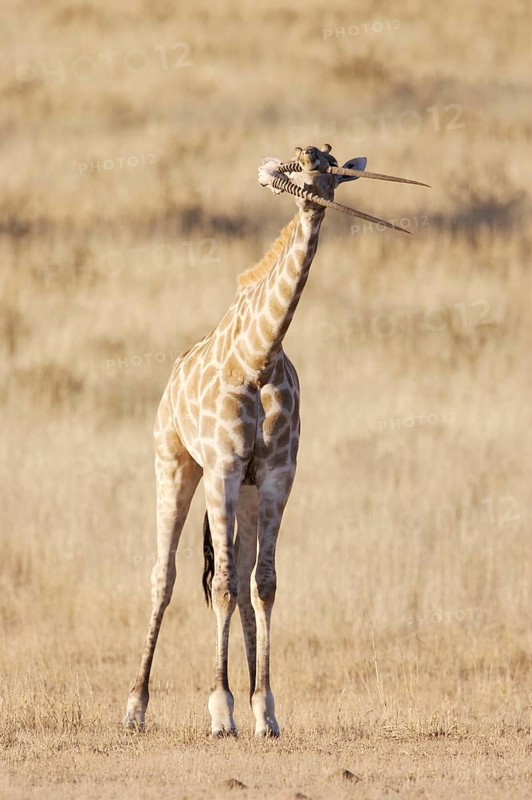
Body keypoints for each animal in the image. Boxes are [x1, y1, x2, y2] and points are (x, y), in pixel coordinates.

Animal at [124, 145, 427, 737]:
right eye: (300, 163)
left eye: (332, 169)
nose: (317, 200)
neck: (258, 356)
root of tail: (172, 375)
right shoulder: (220, 467)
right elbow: (220, 584)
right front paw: (220, 712)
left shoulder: (275, 475)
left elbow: (263, 584)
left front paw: (264, 708)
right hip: (174, 464)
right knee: (164, 575)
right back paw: (136, 707)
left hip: (240, 489)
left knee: (241, 576)